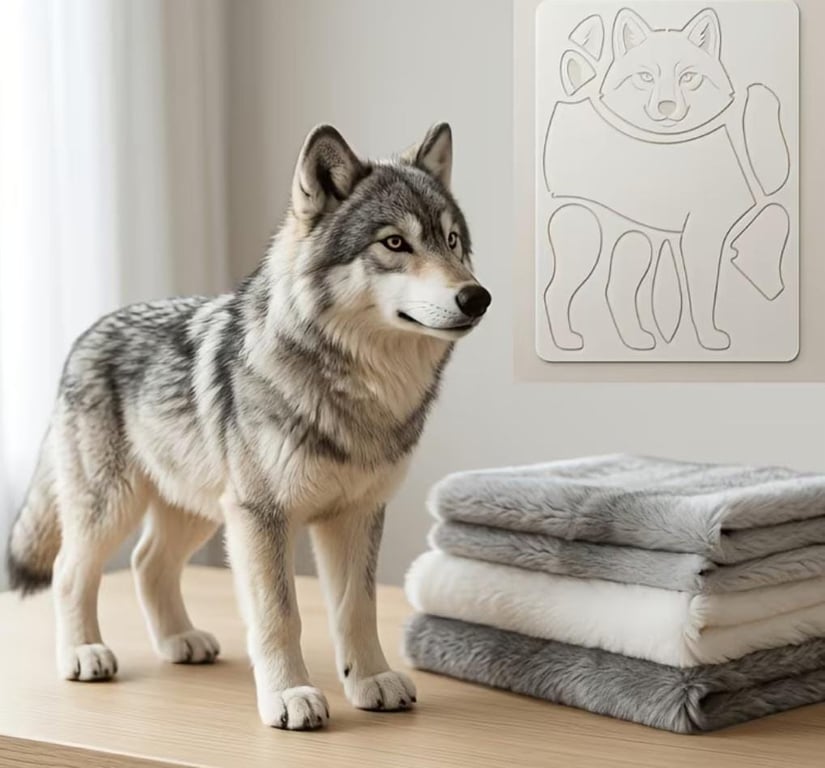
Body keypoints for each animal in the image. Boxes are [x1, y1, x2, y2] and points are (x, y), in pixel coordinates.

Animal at [5, 123, 490, 730]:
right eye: (395, 243)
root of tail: (88, 331)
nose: (477, 296)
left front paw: (371, 680)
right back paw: (83, 654)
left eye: (451, 240)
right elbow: (280, 615)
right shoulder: (263, 518)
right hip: (114, 508)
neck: (359, 392)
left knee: (146, 563)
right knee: (70, 570)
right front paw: (289, 696)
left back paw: (180, 641)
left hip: (199, 511)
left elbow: (357, 609)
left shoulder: (354, 516)